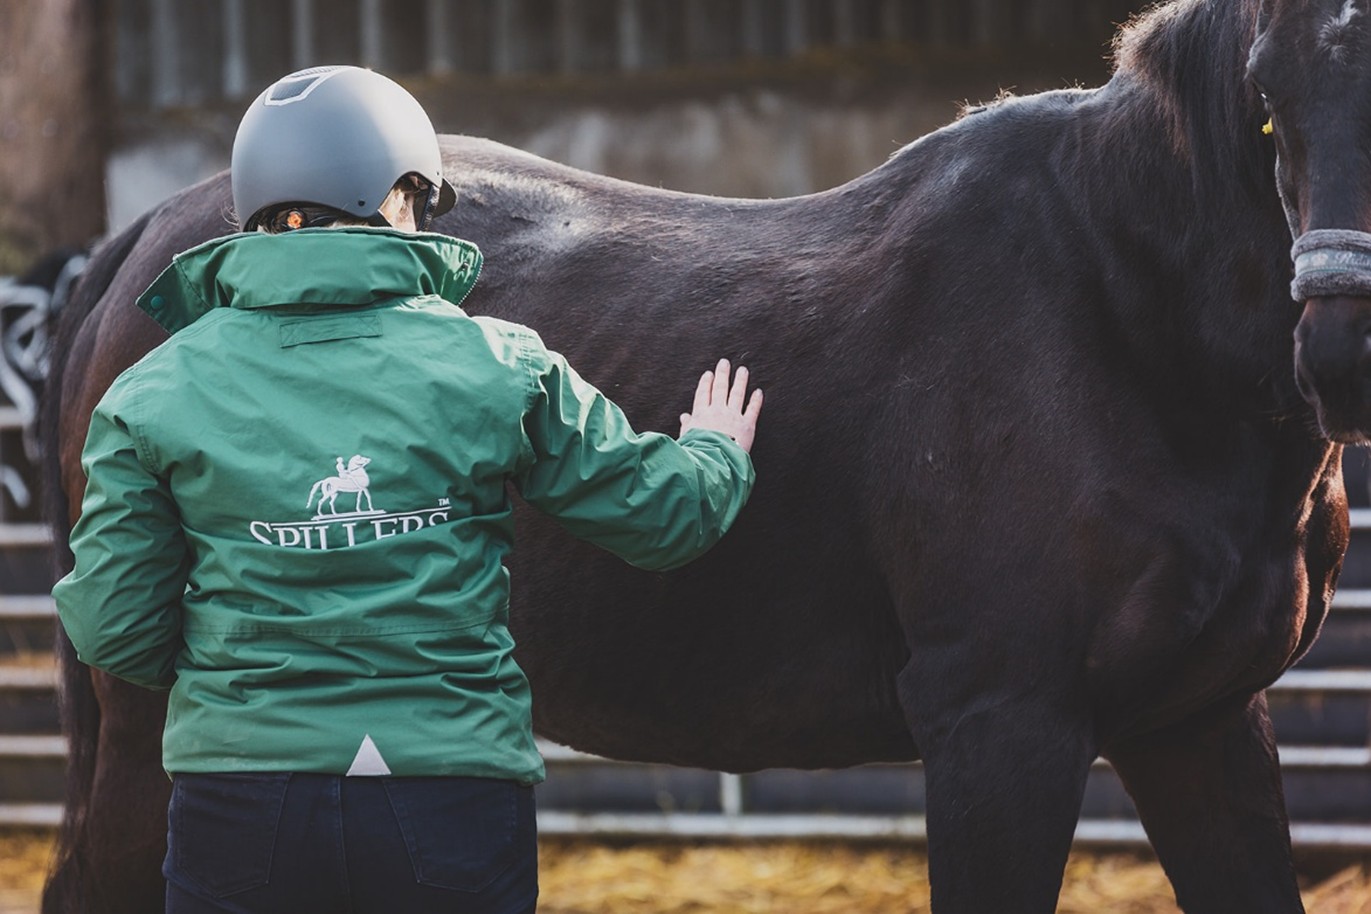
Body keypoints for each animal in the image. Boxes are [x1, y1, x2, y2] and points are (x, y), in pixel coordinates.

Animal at [41, 0, 1371, 910]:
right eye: (1265, 100)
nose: (1343, 349)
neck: (1119, 314)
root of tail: (142, 242)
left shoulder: (1198, 721)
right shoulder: (1004, 726)